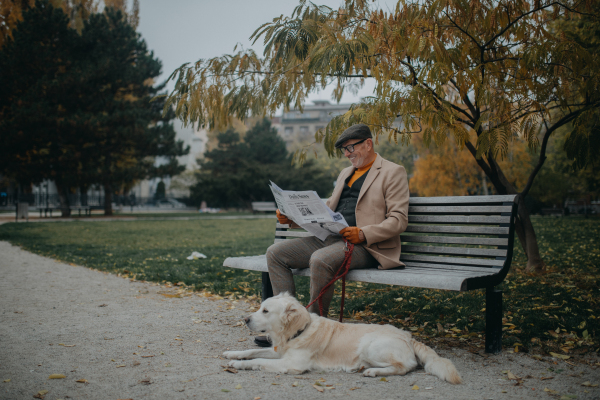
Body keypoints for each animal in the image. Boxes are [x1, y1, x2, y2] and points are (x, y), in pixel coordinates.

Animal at [223, 294, 462, 384]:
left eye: (265, 311)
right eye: (259, 307)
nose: (245, 319)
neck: (298, 331)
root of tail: (408, 335)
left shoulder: (292, 363)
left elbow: (258, 361)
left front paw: (236, 364)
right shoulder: (280, 351)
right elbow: (252, 351)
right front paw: (232, 353)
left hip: (369, 345)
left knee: (405, 367)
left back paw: (372, 371)